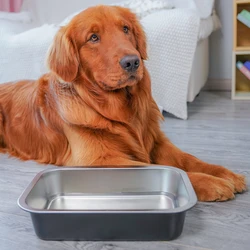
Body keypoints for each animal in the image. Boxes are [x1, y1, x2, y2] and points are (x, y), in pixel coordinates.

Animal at [0, 5, 246, 201]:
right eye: (93, 37)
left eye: (125, 29)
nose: (132, 62)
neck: (120, 109)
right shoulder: (98, 160)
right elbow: (166, 169)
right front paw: (212, 183)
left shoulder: (155, 141)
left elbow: (187, 159)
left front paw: (225, 174)